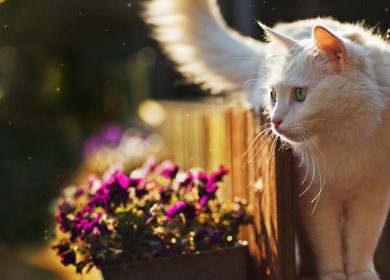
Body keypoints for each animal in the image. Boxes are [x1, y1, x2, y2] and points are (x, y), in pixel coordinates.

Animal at [144, 0, 390, 280]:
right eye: (273, 95)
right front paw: (334, 276)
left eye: (300, 94)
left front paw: (361, 275)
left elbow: (361, 245)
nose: (274, 120)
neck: (347, 137)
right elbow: (328, 248)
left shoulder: (373, 195)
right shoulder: (316, 200)